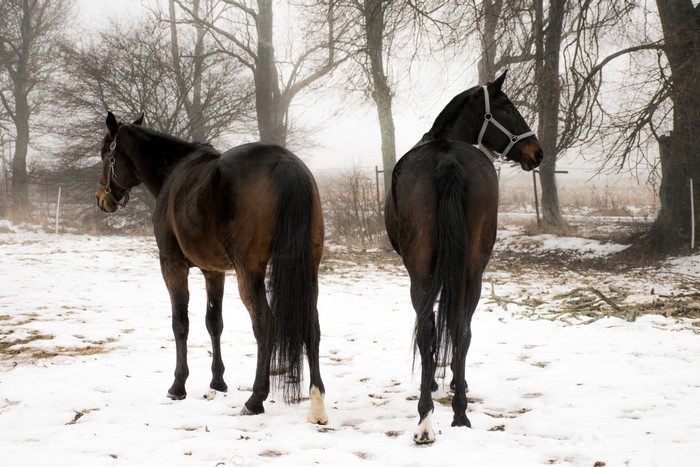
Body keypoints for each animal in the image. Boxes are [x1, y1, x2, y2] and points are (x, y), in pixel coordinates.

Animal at [95, 112, 328, 424]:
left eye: (105, 153)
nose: (102, 199)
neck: (173, 171)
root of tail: (285, 162)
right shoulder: (214, 271)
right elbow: (214, 322)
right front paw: (218, 382)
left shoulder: (172, 264)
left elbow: (181, 323)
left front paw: (177, 386)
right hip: (308, 269)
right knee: (311, 324)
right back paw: (317, 402)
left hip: (249, 272)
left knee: (264, 323)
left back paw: (255, 399)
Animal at [384, 70, 543, 444]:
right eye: (508, 107)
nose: (537, 152)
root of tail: (447, 159)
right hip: (469, 271)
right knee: (455, 326)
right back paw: (450, 412)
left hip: (426, 272)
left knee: (437, 328)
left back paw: (432, 415)